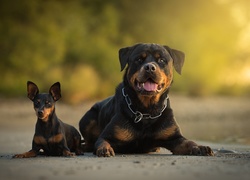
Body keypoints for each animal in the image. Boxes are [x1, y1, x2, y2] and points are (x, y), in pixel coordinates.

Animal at [79, 43, 214, 157]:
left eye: (161, 60)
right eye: (139, 59)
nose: (149, 67)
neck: (147, 110)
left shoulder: (174, 138)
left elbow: (188, 142)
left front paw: (200, 147)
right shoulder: (107, 135)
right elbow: (102, 141)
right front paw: (104, 149)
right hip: (87, 118)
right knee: (89, 141)